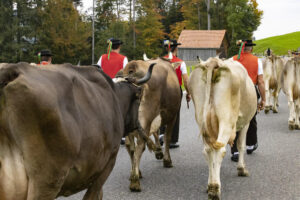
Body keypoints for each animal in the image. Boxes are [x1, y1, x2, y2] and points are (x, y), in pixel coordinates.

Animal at [188, 57, 255, 199]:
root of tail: (214, 62)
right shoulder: (245, 123)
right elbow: (241, 145)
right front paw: (242, 169)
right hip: (226, 120)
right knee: (220, 150)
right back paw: (215, 189)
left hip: (201, 120)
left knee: (208, 150)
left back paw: (210, 186)